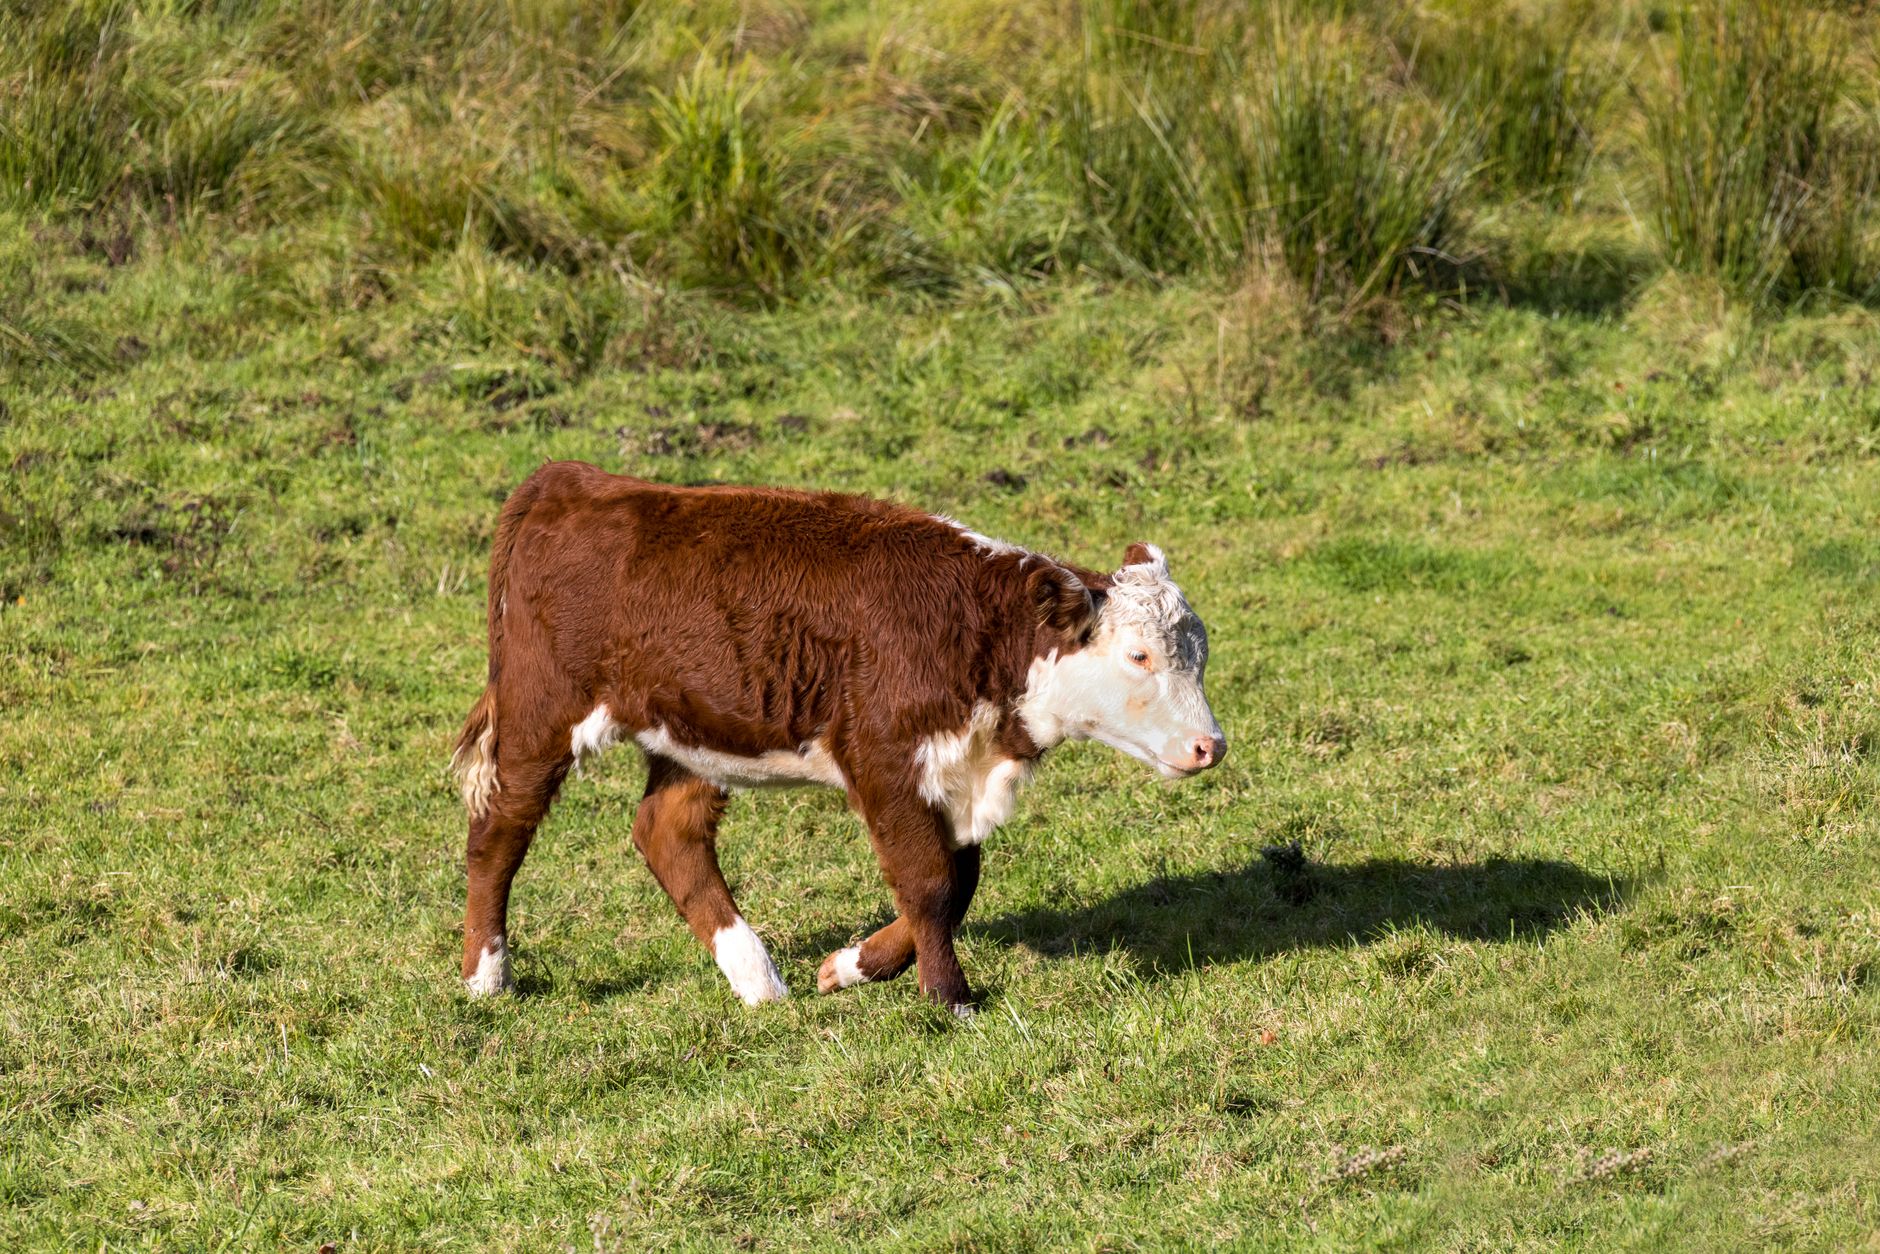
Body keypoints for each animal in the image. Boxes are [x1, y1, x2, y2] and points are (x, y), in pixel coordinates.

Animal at [448, 460, 1225, 1015]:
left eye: (1200, 652)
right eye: (1139, 656)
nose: (1209, 746)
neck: (975, 630)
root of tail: (570, 482)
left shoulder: (953, 771)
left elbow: (959, 882)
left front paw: (852, 967)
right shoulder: (884, 761)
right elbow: (931, 882)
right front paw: (949, 998)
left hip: (694, 732)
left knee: (667, 833)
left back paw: (758, 980)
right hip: (541, 713)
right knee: (498, 833)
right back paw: (487, 977)